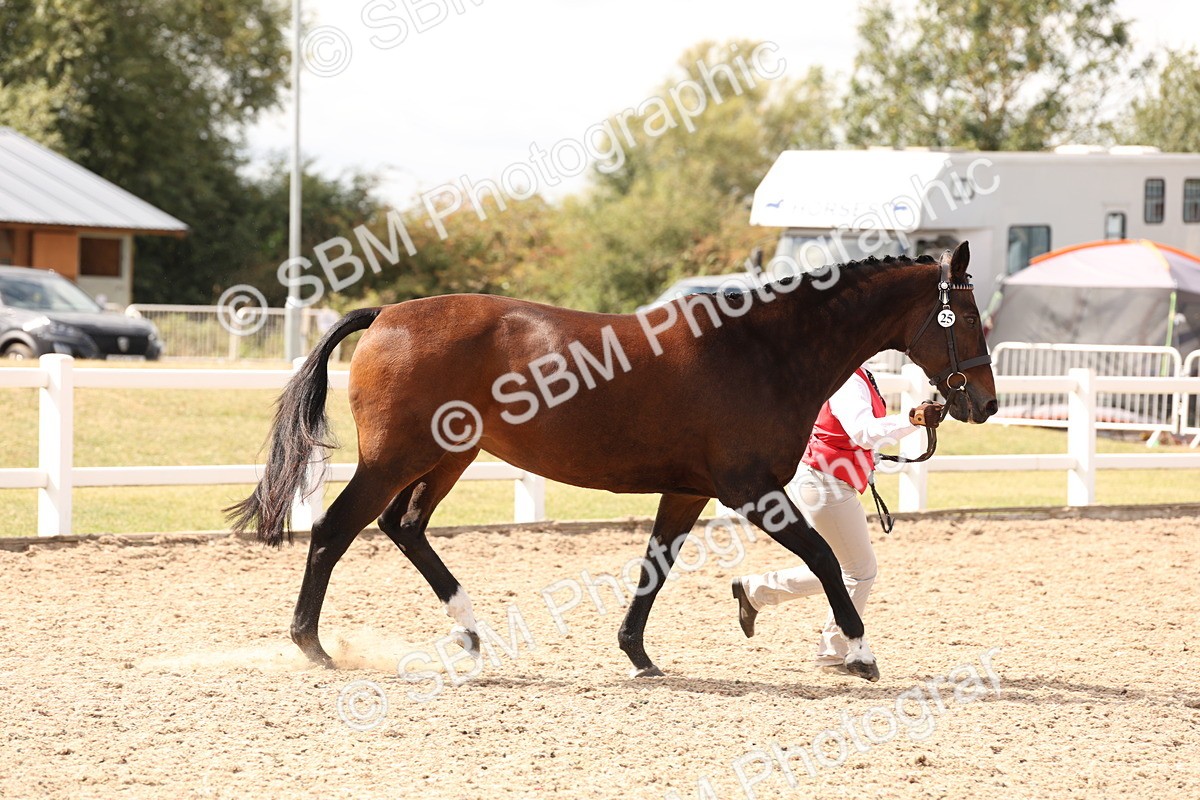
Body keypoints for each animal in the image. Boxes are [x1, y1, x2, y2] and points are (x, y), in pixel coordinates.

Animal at [228, 241, 996, 682]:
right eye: (966, 316)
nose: (984, 404)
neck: (761, 350)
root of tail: (386, 314)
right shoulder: (752, 491)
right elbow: (827, 562)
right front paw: (861, 654)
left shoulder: (688, 492)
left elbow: (655, 567)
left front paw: (637, 653)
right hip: (398, 458)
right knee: (335, 531)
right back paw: (312, 645)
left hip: (448, 457)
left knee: (404, 528)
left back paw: (472, 634)